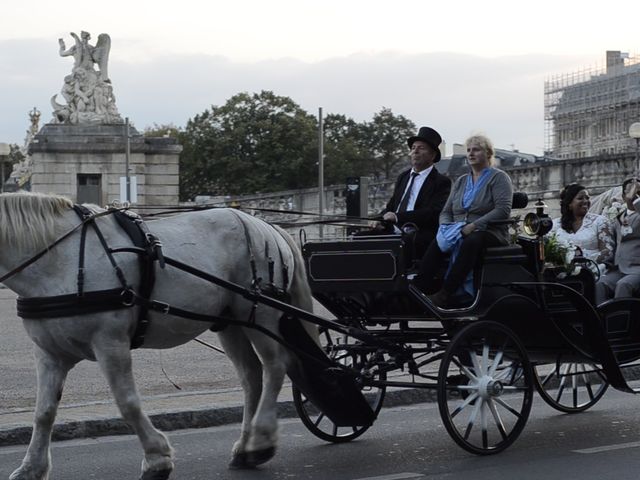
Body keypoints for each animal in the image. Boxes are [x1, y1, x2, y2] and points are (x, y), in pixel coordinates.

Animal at [1, 192, 316, 480]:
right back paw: (244, 448)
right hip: (231, 323)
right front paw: (31, 468)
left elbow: (128, 403)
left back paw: (260, 442)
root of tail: (265, 225)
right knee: (251, 377)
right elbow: (44, 413)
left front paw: (157, 459)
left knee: (276, 367)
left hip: (261, 316)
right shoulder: (49, 354)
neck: (60, 261)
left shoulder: (110, 343)